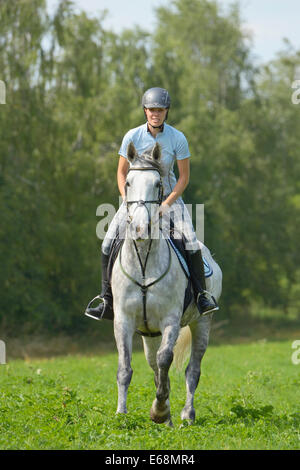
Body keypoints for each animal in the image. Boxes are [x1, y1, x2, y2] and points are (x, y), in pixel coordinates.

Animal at [111, 140, 221, 426]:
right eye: (128, 182)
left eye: (158, 184)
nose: (140, 228)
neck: (144, 264)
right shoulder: (123, 320)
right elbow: (126, 368)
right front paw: (121, 414)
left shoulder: (170, 320)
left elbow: (165, 360)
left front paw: (159, 411)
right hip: (149, 334)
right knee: (155, 366)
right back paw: (170, 416)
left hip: (202, 323)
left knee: (192, 370)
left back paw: (185, 415)